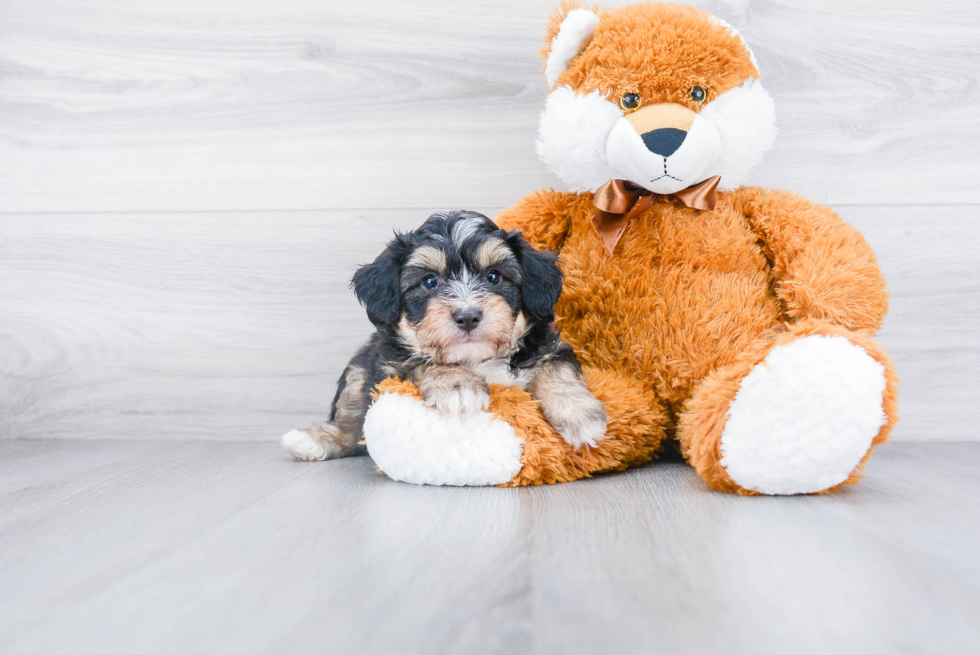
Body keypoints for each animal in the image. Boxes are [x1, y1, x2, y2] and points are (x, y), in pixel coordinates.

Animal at [280, 210, 608, 462]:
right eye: (429, 282)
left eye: (493, 276)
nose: (468, 316)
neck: (477, 360)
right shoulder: (388, 365)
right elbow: (421, 362)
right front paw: (458, 386)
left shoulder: (547, 345)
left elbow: (555, 368)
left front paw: (581, 415)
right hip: (358, 370)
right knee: (352, 421)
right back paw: (313, 440)